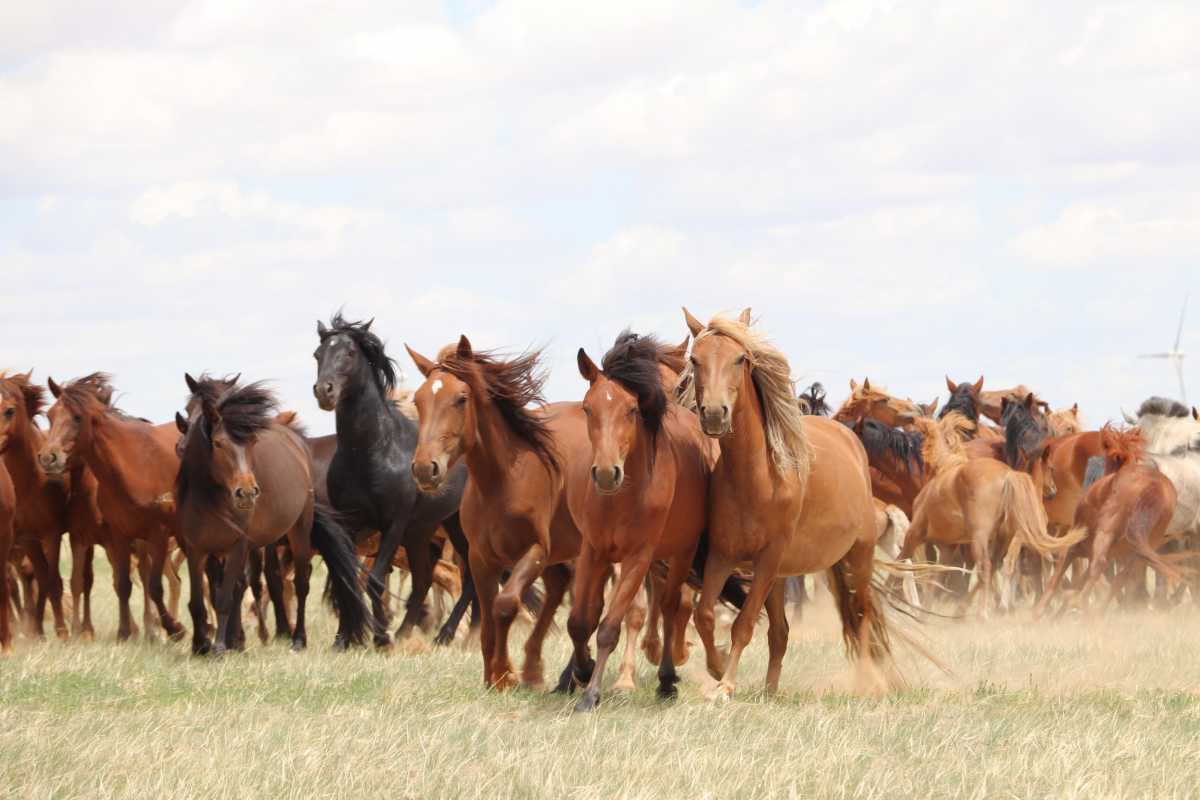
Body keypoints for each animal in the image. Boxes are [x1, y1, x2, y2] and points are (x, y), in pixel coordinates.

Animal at [40, 371, 184, 642]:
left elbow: (153, 585)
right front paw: (124, 633)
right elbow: (121, 584)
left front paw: (173, 628)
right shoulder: (116, 536)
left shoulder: (156, 535)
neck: (132, 467)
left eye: (77, 417)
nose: (47, 458)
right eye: (50, 415)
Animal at [171, 381, 362, 652]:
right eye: (218, 443)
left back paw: (298, 639)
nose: (247, 492)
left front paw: (220, 647)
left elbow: (226, 597)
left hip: (299, 533)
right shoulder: (197, 550)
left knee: (300, 584)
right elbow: (198, 602)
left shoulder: (237, 546)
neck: (210, 499)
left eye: (251, 444)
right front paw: (201, 645)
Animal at [312, 311, 470, 642]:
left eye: (350, 352)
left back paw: (446, 634)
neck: (372, 452)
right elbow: (346, 578)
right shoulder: (349, 524)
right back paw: (408, 632)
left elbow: (374, 580)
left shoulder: (394, 524)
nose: (324, 391)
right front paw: (345, 638)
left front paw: (381, 635)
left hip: (458, 526)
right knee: (424, 579)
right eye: (318, 354)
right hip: (423, 530)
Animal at [561, 331, 710, 714]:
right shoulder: (593, 551)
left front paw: (590, 695)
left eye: (631, 409)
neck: (623, 496)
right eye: (588, 408)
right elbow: (580, 621)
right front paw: (582, 670)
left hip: (680, 554)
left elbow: (609, 628)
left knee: (672, 607)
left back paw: (667, 680)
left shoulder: (638, 558)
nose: (606, 473)